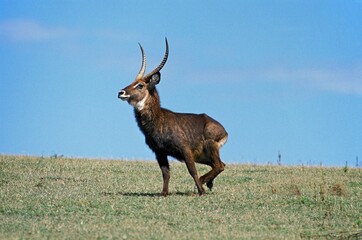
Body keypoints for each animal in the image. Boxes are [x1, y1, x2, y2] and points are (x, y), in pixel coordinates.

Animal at [118, 38, 226, 195]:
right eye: (132, 82)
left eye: (140, 85)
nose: (121, 92)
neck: (159, 119)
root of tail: (222, 129)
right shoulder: (159, 152)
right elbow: (165, 173)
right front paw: (164, 193)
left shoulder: (185, 150)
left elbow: (192, 171)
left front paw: (201, 191)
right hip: (202, 156)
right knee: (220, 164)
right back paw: (208, 182)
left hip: (210, 147)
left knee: (219, 165)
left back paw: (203, 183)